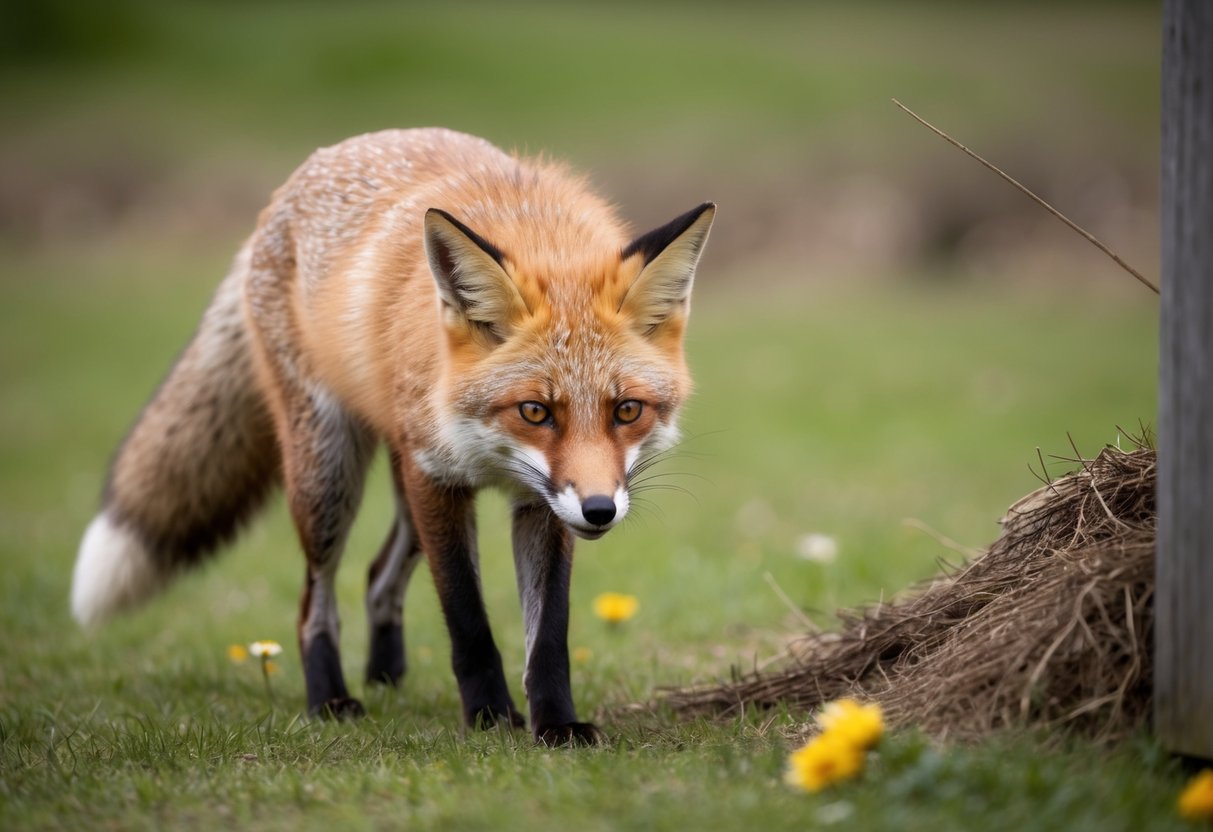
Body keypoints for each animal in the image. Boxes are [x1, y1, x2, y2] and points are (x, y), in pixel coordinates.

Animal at [70, 128, 714, 745]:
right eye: (535, 411)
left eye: (626, 410)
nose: (600, 510)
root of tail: (291, 187)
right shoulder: (438, 477)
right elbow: (467, 619)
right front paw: (488, 717)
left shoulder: (538, 502)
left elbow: (549, 634)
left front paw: (556, 724)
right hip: (329, 477)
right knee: (315, 602)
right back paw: (330, 699)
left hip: (404, 489)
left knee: (377, 577)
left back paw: (385, 675)